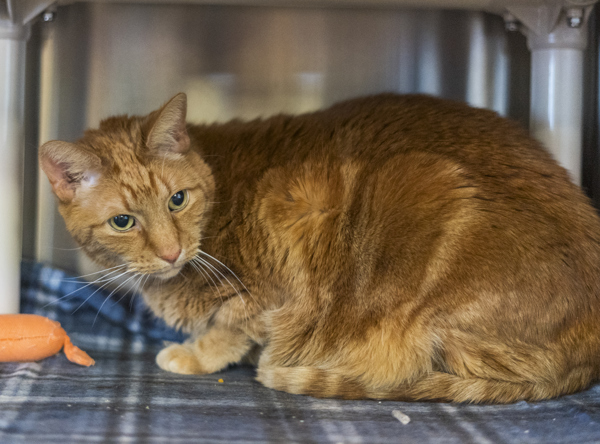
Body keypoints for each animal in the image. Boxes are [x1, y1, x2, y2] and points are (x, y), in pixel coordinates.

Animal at [39, 93, 600, 402]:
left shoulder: (269, 281)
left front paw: (197, 355)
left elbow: (230, 330)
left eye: (177, 200)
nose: (172, 253)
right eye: (124, 221)